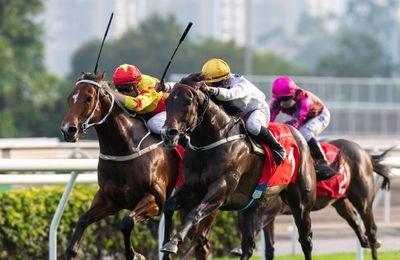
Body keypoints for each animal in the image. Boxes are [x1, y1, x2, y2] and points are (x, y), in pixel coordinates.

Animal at [59, 72, 214, 258]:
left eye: (88, 98)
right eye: (69, 98)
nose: (68, 129)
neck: (124, 148)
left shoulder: (155, 200)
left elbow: (127, 222)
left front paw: (135, 254)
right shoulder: (109, 200)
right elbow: (82, 220)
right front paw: (72, 250)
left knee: (201, 240)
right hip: (185, 207)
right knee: (201, 244)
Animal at [160, 75, 318, 260]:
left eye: (188, 101)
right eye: (168, 101)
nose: (168, 133)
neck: (210, 143)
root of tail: (299, 135)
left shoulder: (221, 189)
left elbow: (195, 213)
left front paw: (173, 242)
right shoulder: (191, 188)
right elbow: (169, 206)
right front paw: (166, 247)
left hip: (301, 205)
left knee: (306, 240)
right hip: (249, 208)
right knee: (248, 246)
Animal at [231, 140, 390, 260]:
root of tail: (365, 153)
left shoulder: (272, 210)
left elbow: (257, 225)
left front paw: (239, 249)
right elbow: (269, 248)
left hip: (363, 201)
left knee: (372, 230)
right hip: (340, 201)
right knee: (354, 221)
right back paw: (364, 241)